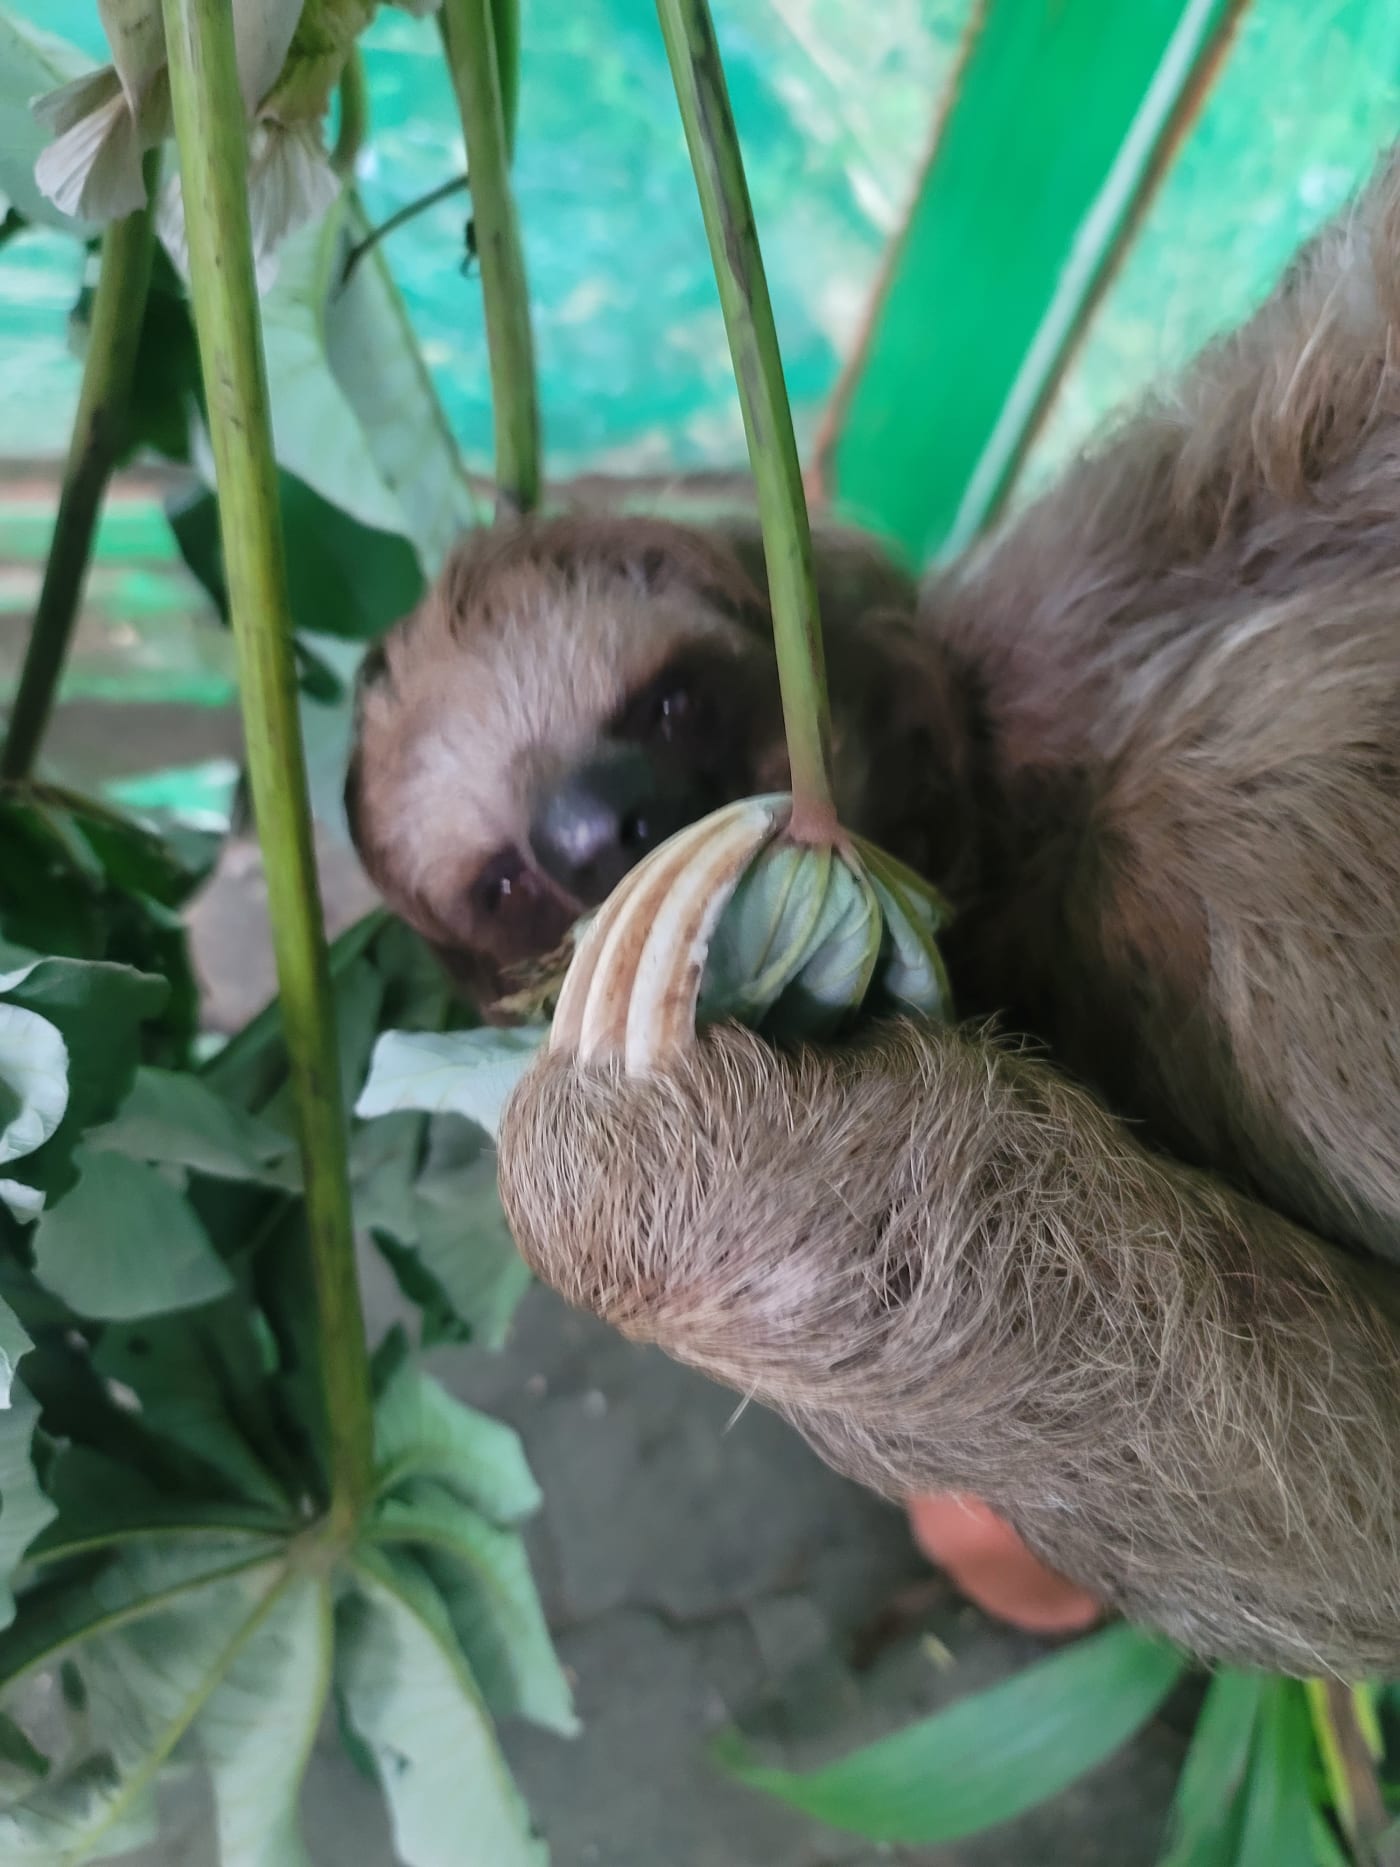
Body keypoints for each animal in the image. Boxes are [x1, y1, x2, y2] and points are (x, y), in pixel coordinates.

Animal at [347, 145, 1400, 1679]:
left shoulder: (1129, 533)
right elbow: (1334, 1501)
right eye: (500, 878)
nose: (602, 826)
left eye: (671, 697)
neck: (1022, 834)